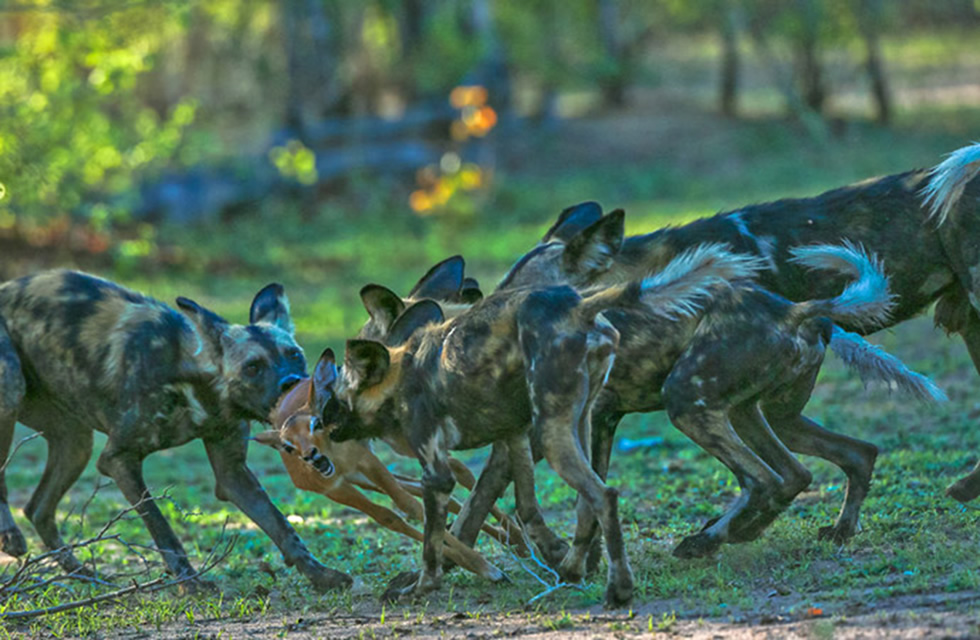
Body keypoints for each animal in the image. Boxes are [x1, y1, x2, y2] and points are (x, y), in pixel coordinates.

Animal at [0, 268, 350, 592]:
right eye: (253, 367)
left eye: (295, 355)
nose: (292, 384)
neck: (199, 383)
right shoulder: (118, 459)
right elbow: (161, 527)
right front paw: (189, 581)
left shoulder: (232, 473)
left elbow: (281, 527)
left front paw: (320, 574)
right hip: (12, 394)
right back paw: (11, 536)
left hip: (76, 443)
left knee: (37, 509)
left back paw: (83, 574)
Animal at [320, 242, 756, 608]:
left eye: (334, 397)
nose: (319, 422)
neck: (401, 369)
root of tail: (577, 305)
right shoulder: (513, 436)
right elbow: (524, 506)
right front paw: (550, 551)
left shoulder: (437, 473)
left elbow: (435, 541)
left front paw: (421, 587)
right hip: (573, 424)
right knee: (588, 504)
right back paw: (573, 571)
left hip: (552, 432)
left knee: (604, 496)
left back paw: (617, 590)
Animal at [448, 204, 944, 560]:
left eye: (518, 296)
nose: (476, 323)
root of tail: (795, 310)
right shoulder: (594, 422)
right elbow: (527, 501)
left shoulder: (550, 431)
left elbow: (486, 499)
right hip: (761, 416)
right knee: (825, 464)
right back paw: (814, 530)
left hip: (687, 402)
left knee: (764, 479)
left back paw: (710, 540)